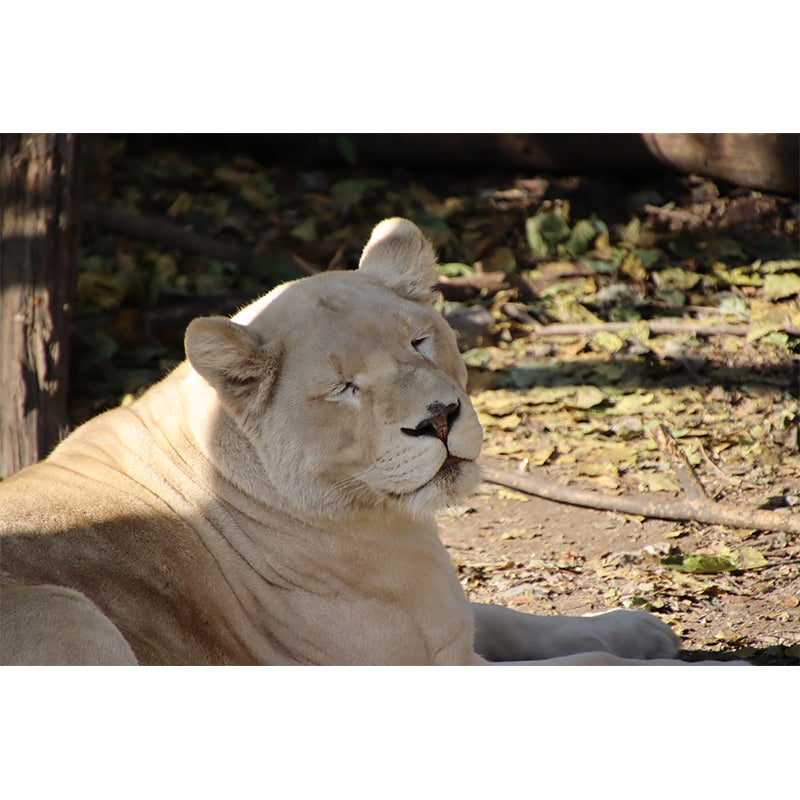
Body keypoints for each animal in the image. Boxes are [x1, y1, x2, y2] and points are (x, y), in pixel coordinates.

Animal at [1, 217, 690, 665]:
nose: (440, 418)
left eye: (419, 341)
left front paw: (639, 630)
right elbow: (585, 664)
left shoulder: (449, 622)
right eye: (343, 389)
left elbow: (514, 619)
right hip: (71, 613)